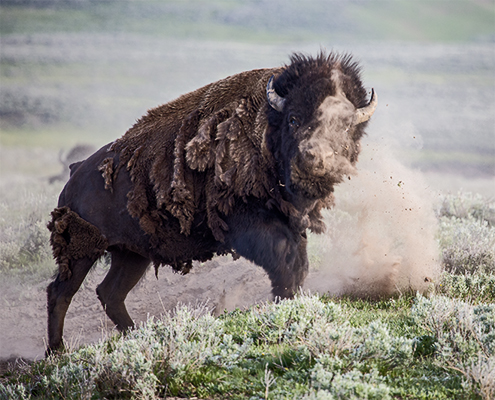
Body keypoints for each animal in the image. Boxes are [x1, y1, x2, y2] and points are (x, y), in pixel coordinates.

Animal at [47, 52, 380, 354]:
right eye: (294, 118)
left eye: (345, 126)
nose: (314, 158)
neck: (265, 129)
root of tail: (75, 174)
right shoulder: (250, 225)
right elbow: (285, 260)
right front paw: (284, 301)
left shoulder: (292, 223)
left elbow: (299, 262)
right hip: (82, 251)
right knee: (60, 293)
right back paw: (56, 350)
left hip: (131, 254)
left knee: (110, 293)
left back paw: (135, 333)